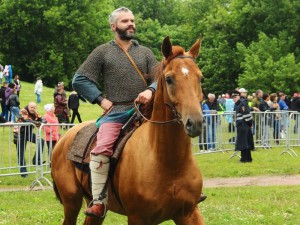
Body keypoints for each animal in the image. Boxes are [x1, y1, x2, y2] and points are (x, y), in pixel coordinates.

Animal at [52, 36, 206, 224]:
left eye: (200, 78)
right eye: (169, 79)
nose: (195, 122)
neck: (169, 163)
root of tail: (63, 139)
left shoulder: (189, 213)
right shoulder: (137, 217)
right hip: (71, 202)